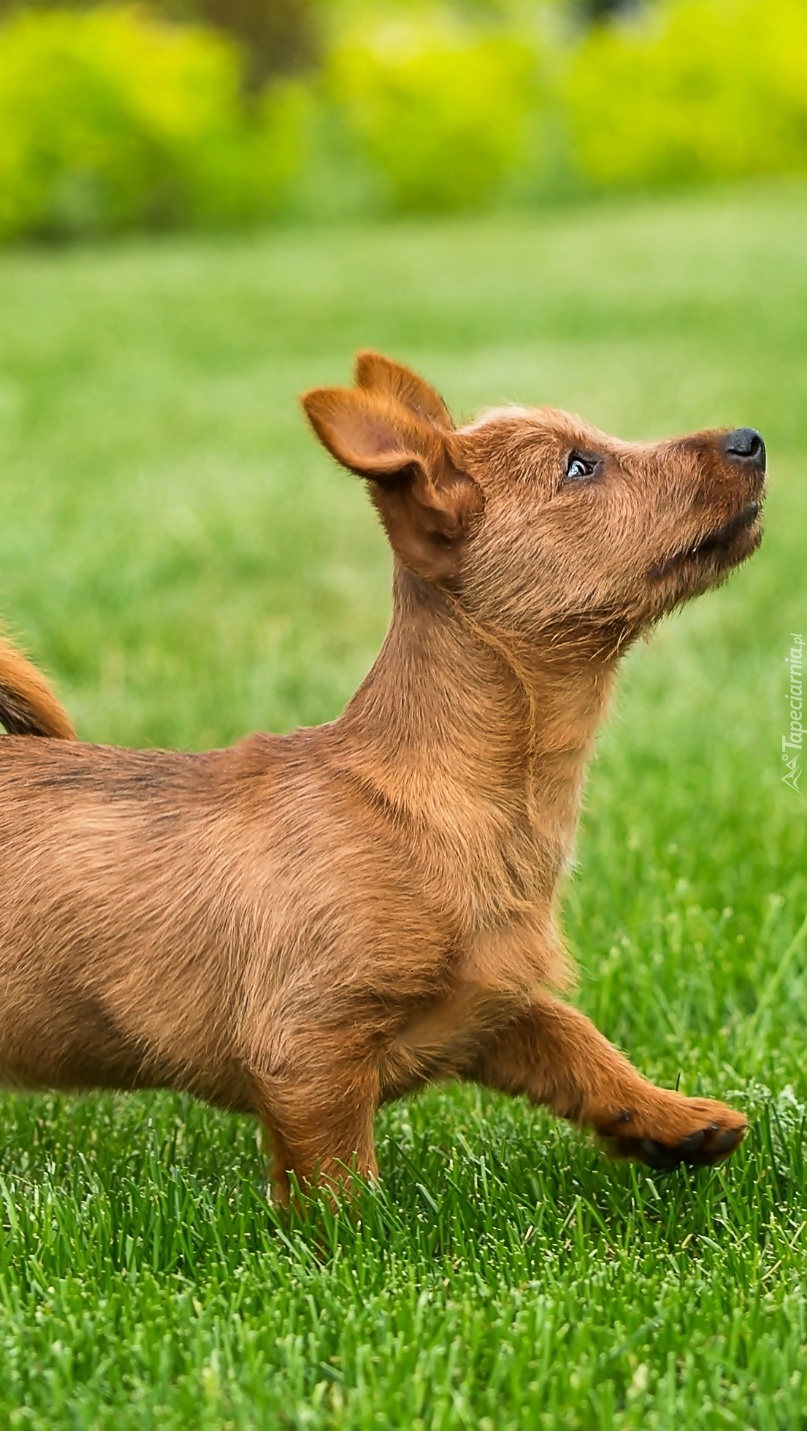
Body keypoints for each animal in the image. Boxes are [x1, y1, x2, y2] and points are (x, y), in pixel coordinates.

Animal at [0, 352, 761, 1202]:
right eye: (578, 466)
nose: (751, 437)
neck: (451, 795)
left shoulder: (487, 1006)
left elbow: (572, 1037)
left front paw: (667, 1116)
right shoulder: (308, 1047)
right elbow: (339, 1177)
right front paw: (357, 1234)